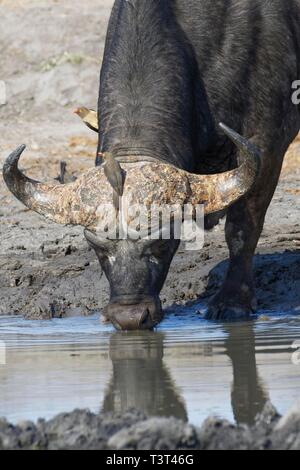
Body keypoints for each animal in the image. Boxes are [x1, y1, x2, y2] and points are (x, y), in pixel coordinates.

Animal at [2, 0, 300, 330]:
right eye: (97, 246)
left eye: (161, 243)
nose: (129, 317)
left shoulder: (266, 143)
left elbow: (242, 229)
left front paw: (233, 302)